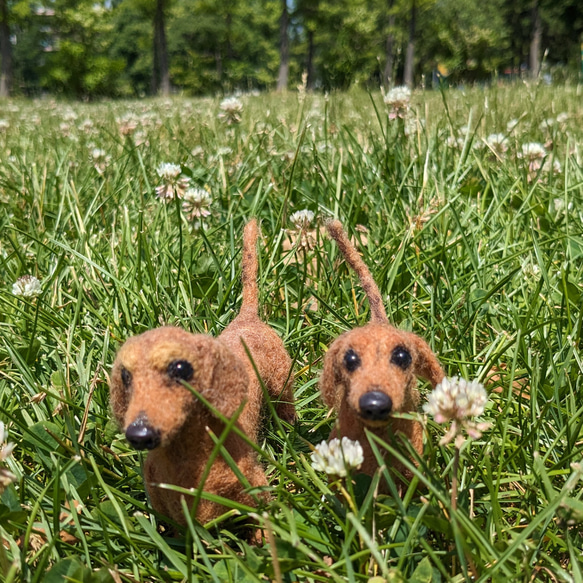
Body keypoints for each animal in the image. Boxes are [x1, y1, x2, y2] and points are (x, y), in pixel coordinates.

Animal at [110, 220, 296, 528]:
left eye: (180, 368)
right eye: (125, 376)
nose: (139, 433)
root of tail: (247, 317)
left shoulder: (255, 493)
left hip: (282, 381)